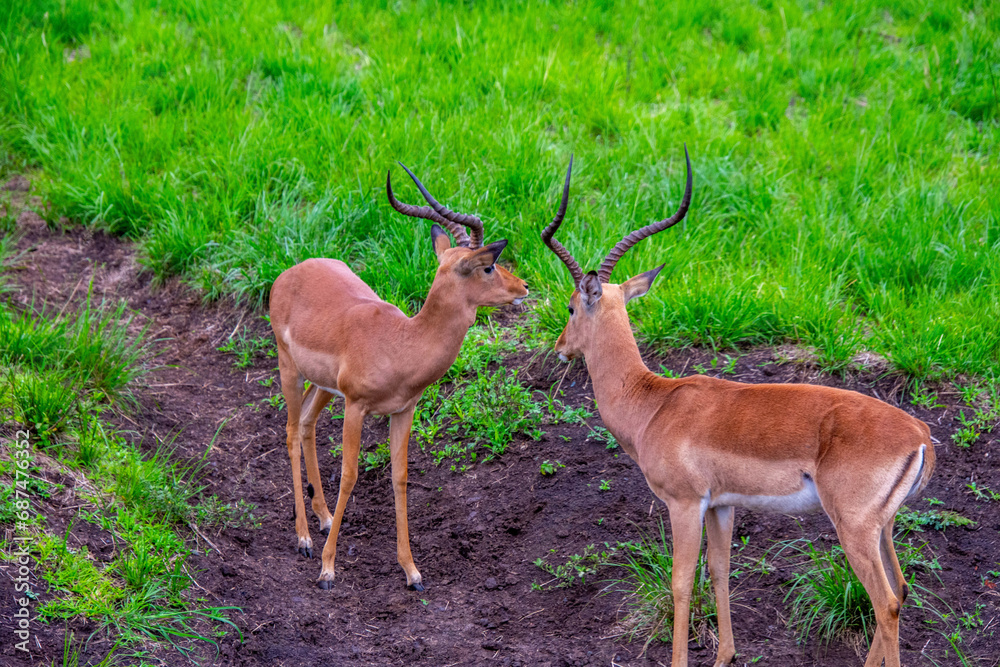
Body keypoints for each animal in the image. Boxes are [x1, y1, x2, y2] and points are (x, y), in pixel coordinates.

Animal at [269, 165, 528, 590]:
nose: (523, 286)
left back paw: (323, 519)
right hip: (288, 367)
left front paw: (412, 571)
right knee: (291, 431)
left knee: (306, 423)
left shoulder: (403, 411)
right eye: (488, 266)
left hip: (324, 387)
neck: (403, 342)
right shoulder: (356, 407)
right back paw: (304, 538)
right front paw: (327, 570)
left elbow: (400, 477)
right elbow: (350, 474)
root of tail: (291, 272)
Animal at [541, 148, 935, 667]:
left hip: (853, 528)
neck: (653, 403)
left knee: (885, 602)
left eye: (570, 307)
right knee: (901, 590)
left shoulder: (685, 503)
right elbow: (720, 571)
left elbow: (681, 583)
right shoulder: (722, 505)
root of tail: (920, 434)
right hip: (882, 526)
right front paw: (725, 655)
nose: (560, 347)